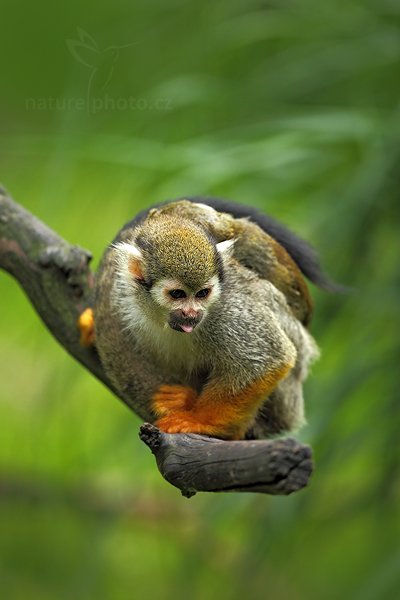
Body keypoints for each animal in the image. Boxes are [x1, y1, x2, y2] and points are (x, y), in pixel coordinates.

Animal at [83, 199, 322, 438]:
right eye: (177, 294)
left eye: (203, 294)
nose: (191, 313)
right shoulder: (120, 295)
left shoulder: (225, 309)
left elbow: (269, 358)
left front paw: (200, 420)